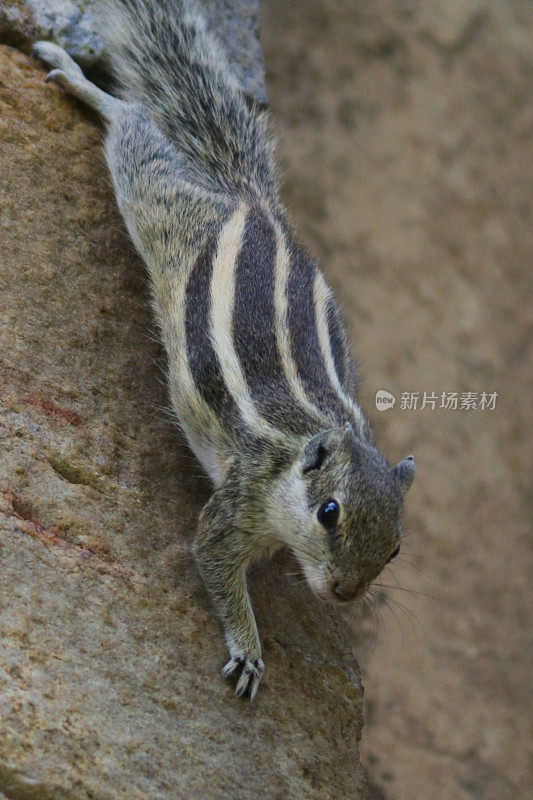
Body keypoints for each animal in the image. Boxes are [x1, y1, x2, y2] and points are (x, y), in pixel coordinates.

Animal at [31, 0, 416, 700]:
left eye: (397, 547)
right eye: (329, 512)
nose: (346, 594)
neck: (298, 453)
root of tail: (252, 201)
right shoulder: (238, 497)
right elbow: (210, 558)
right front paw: (249, 649)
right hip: (161, 209)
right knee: (135, 132)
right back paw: (78, 78)